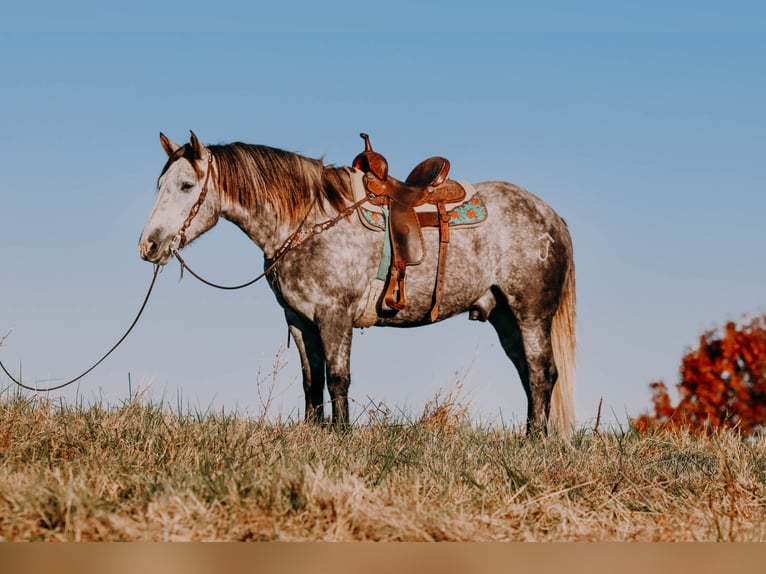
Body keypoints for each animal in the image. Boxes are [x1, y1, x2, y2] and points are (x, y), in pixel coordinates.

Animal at [140, 130, 576, 436]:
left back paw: (534, 440)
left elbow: (338, 376)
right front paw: (315, 429)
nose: (149, 245)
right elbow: (311, 379)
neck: (311, 220)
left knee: (542, 373)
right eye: (159, 185)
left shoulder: (335, 315)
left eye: (186, 186)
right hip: (505, 318)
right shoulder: (299, 320)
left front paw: (342, 433)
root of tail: (551, 216)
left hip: (530, 315)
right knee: (528, 374)